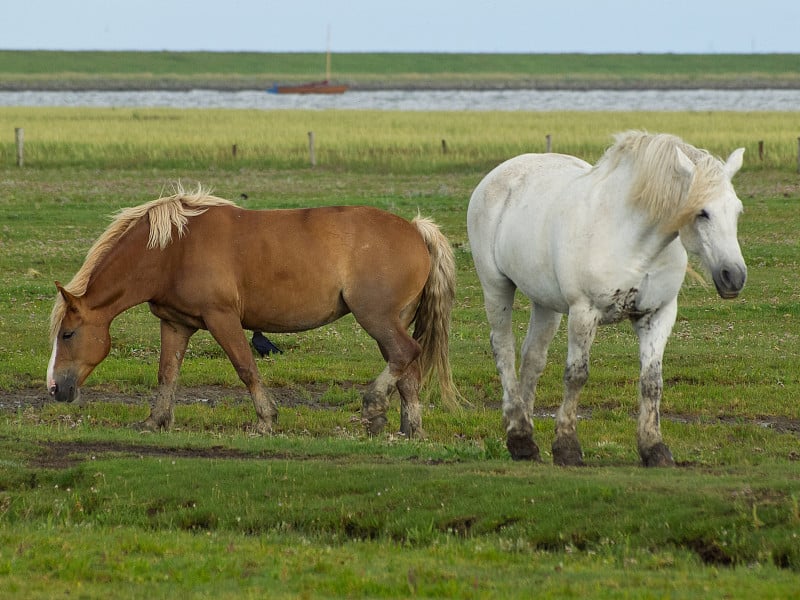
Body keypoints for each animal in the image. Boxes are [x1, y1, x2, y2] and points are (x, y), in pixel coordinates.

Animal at [50, 188, 460, 436]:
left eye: (67, 334)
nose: (55, 388)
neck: (171, 250)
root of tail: (415, 229)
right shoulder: (175, 324)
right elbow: (167, 374)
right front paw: (155, 420)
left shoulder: (222, 318)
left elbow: (246, 367)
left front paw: (266, 420)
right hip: (394, 321)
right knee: (406, 369)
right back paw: (408, 427)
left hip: (377, 318)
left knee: (405, 354)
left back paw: (374, 406)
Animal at [466, 132, 748, 468]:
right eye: (702, 213)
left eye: (737, 211)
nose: (734, 276)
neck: (634, 241)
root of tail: (498, 174)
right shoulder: (584, 312)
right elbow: (576, 375)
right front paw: (567, 447)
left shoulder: (658, 314)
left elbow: (652, 382)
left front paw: (654, 448)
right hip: (496, 287)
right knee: (504, 351)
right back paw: (518, 435)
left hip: (545, 302)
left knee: (532, 358)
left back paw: (525, 440)